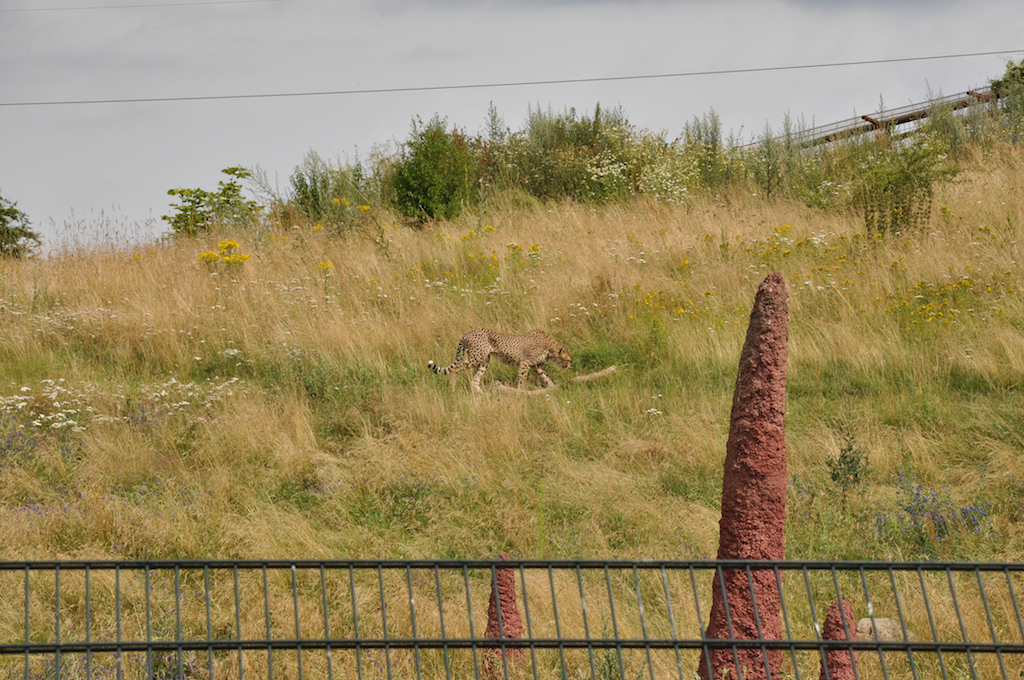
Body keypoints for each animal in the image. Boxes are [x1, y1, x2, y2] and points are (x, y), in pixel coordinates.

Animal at [428, 328, 571, 393]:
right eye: (568, 360)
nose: (569, 366)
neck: (549, 346)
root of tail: (469, 332)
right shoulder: (525, 362)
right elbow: (522, 379)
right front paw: (521, 392)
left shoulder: (537, 366)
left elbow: (546, 378)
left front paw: (553, 388)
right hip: (477, 357)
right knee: (457, 368)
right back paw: (452, 388)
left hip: (484, 361)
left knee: (474, 380)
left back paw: (482, 394)